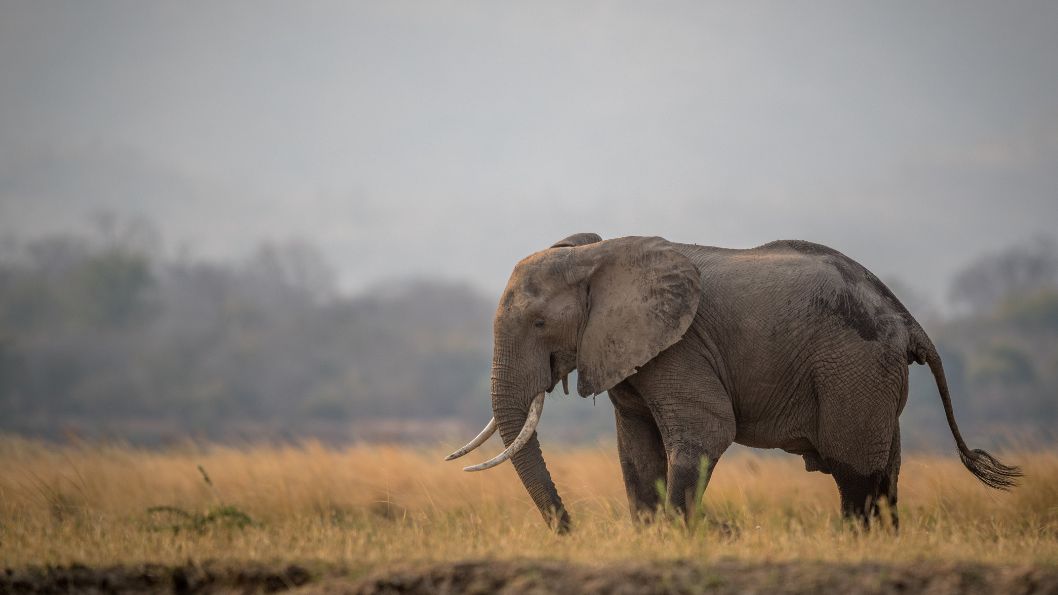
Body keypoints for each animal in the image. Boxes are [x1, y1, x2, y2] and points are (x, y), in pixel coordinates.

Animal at [446, 233, 1020, 533]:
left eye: (540, 323)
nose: (571, 530)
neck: (600, 253)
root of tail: (907, 320)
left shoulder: (679, 346)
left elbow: (705, 432)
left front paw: (680, 536)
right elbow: (635, 450)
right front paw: (652, 536)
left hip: (855, 368)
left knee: (855, 470)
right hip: (875, 377)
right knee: (886, 475)